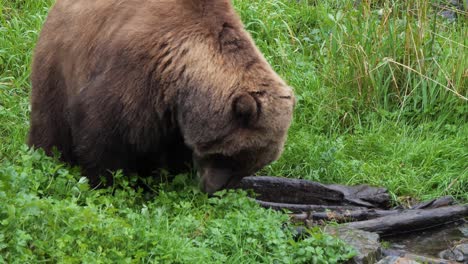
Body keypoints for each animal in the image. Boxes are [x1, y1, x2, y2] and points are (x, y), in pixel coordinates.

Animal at [29, 0, 294, 194]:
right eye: (229, 156)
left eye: (251, 165)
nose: (213, 190)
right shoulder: (135, 75)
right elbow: (101, 134)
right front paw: (108, 183)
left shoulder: (172, 117)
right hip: (60, 64)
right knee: (50, 122)